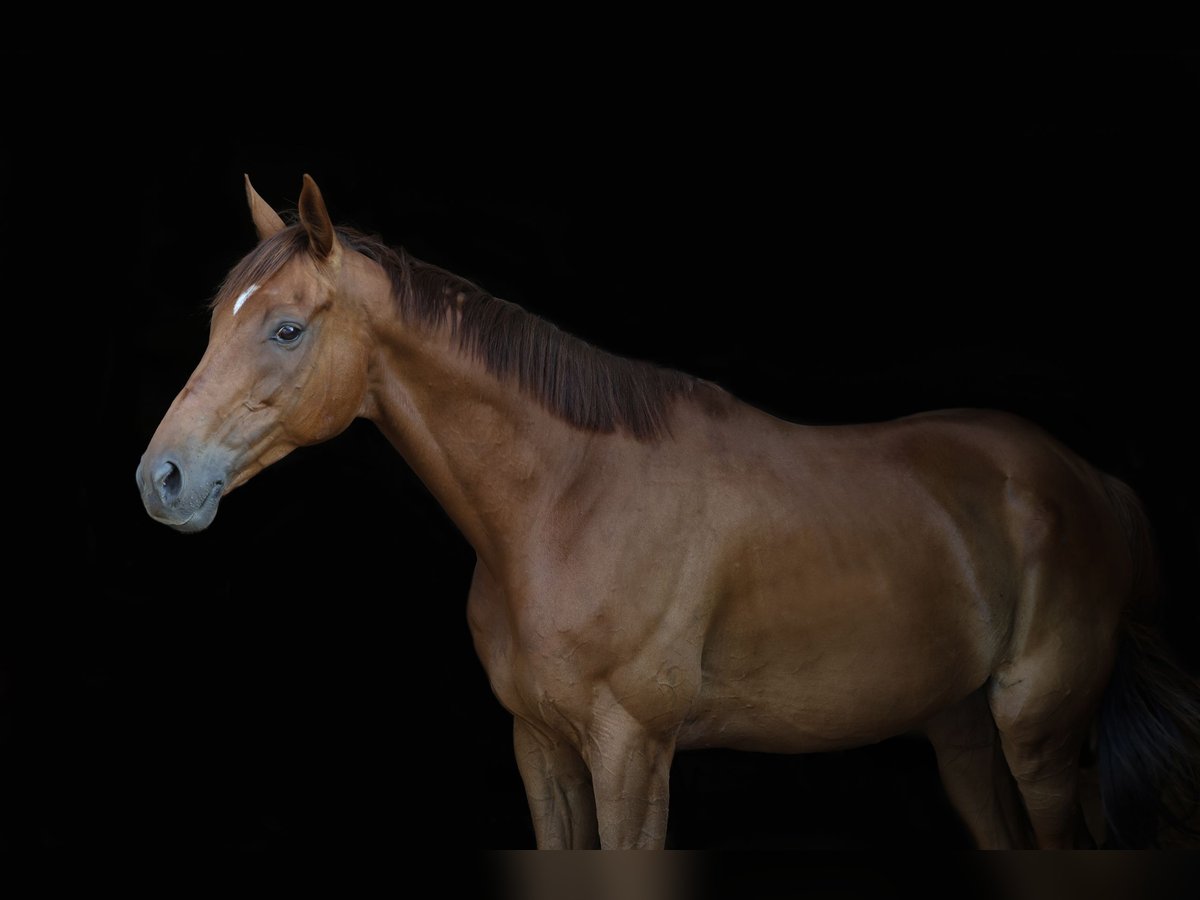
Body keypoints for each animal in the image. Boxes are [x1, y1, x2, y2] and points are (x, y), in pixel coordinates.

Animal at [136, 176, 1195, 854]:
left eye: (286, 328)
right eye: (218, 319)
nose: (163, 478)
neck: (568, 502)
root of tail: (1092, 483)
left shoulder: (632, 753)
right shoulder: (543, 751)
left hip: (1042, 738)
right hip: (967, 735)